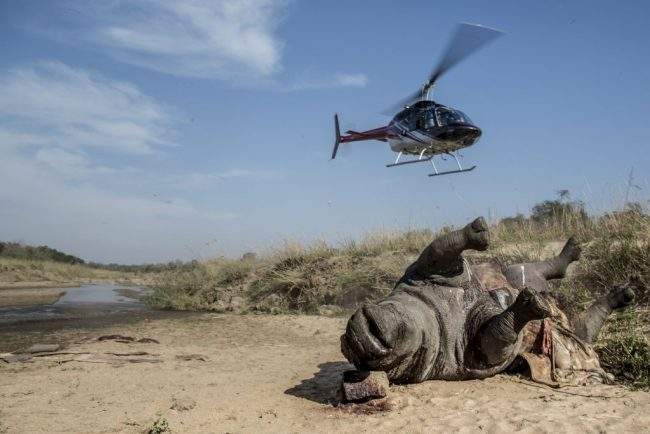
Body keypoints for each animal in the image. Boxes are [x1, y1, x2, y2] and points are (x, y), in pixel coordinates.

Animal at [340, 217, 635, 385]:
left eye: (372, 331)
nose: (360, 337)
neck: (433, 314)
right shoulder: (469, 356)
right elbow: (498, 335)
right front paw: (526, 308)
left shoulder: (427, 274)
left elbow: (439, 249)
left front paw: (476, 232)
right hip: (566, 333)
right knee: (582, 332)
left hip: (513, 273)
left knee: (525, 270)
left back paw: (572, 254)